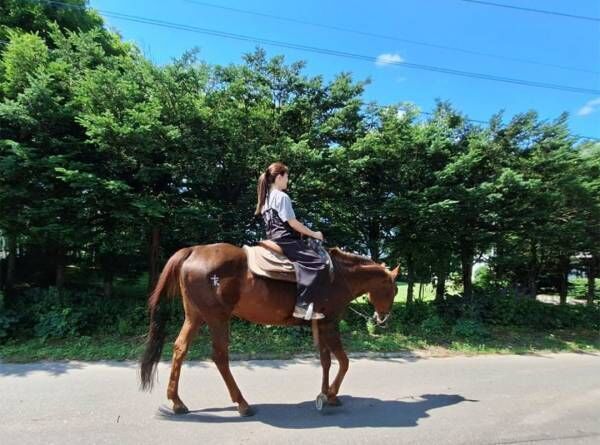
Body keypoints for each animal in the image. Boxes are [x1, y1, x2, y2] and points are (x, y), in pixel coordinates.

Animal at [138, 241, 396, 414]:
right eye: (392, 289)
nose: (383, 317)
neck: (339, 277)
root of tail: (194, 251)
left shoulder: (320, 324)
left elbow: (326, 360)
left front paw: (326, 394)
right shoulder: (329, 323)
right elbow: (343, 361)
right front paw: (330, 394)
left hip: (195, 316)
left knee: (180, 348)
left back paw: (177, 401)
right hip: (218, 318)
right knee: (220, 356)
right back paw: (242, 404)